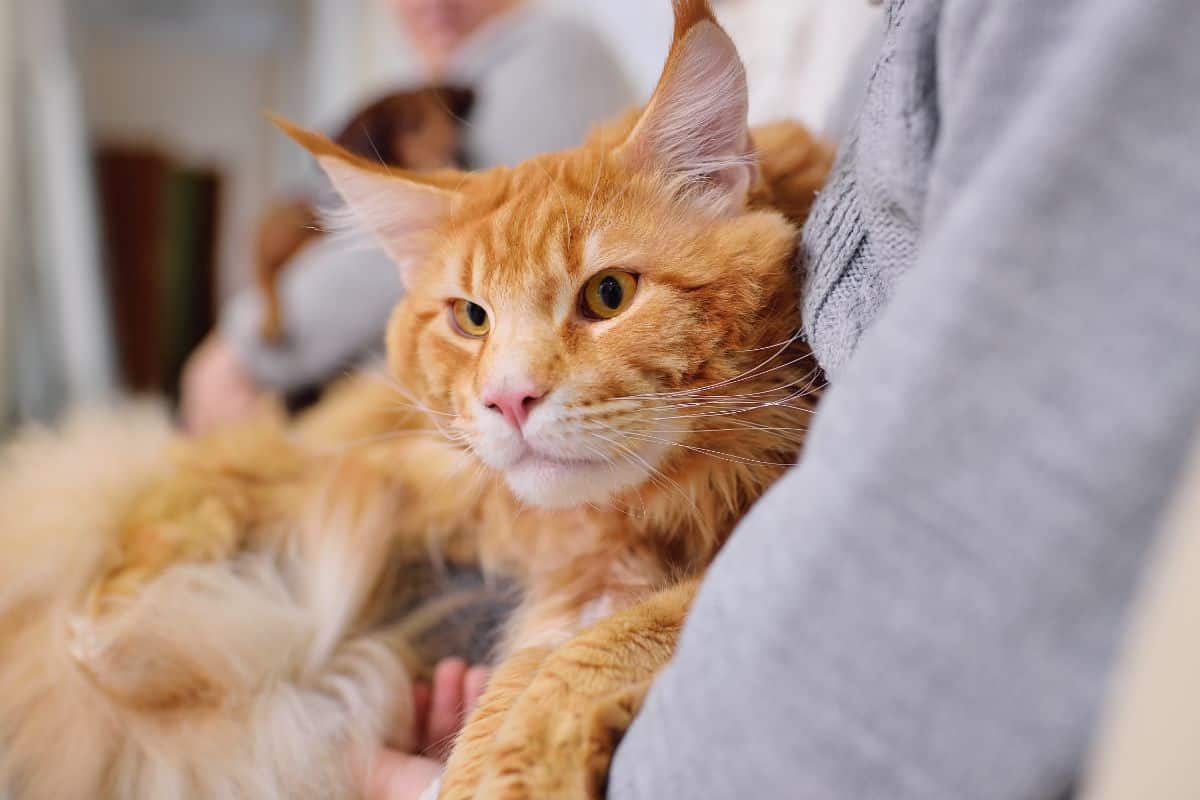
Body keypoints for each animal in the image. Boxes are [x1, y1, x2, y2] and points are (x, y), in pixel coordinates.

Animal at [0, 3, 830, 796]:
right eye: (472, 318)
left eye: (609, 295)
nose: (509, 399)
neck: (633, 520)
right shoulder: (413, 474)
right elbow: (212, 488)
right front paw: (107, 627)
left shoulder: (658, 580)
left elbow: (578, 664)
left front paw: (512, 771)